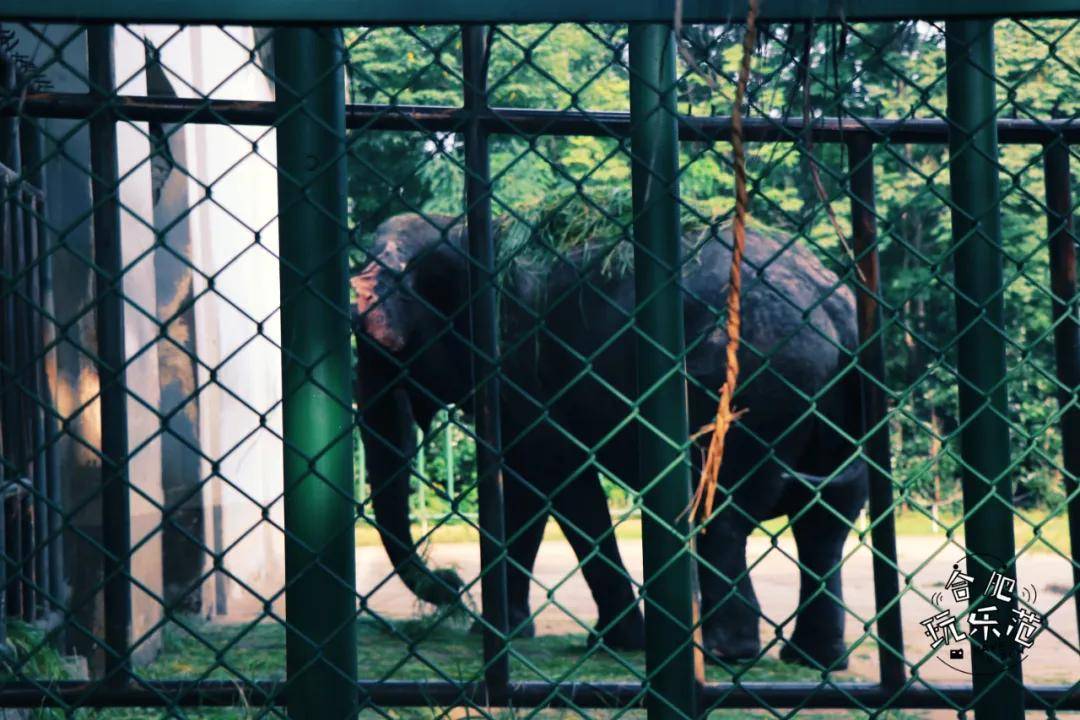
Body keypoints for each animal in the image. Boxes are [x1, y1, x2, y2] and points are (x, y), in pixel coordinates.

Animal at [354, 212, 868, 669]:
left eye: (389, 351)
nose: (449, 583)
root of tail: (833, 308)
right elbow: (529, 489)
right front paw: (507, 632)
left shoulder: (520, 363)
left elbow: (553, 481)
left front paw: (612, 642)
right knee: (826, 519)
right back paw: (813, 658)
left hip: (748, 391)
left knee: (722, 513)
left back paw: (723, 653)